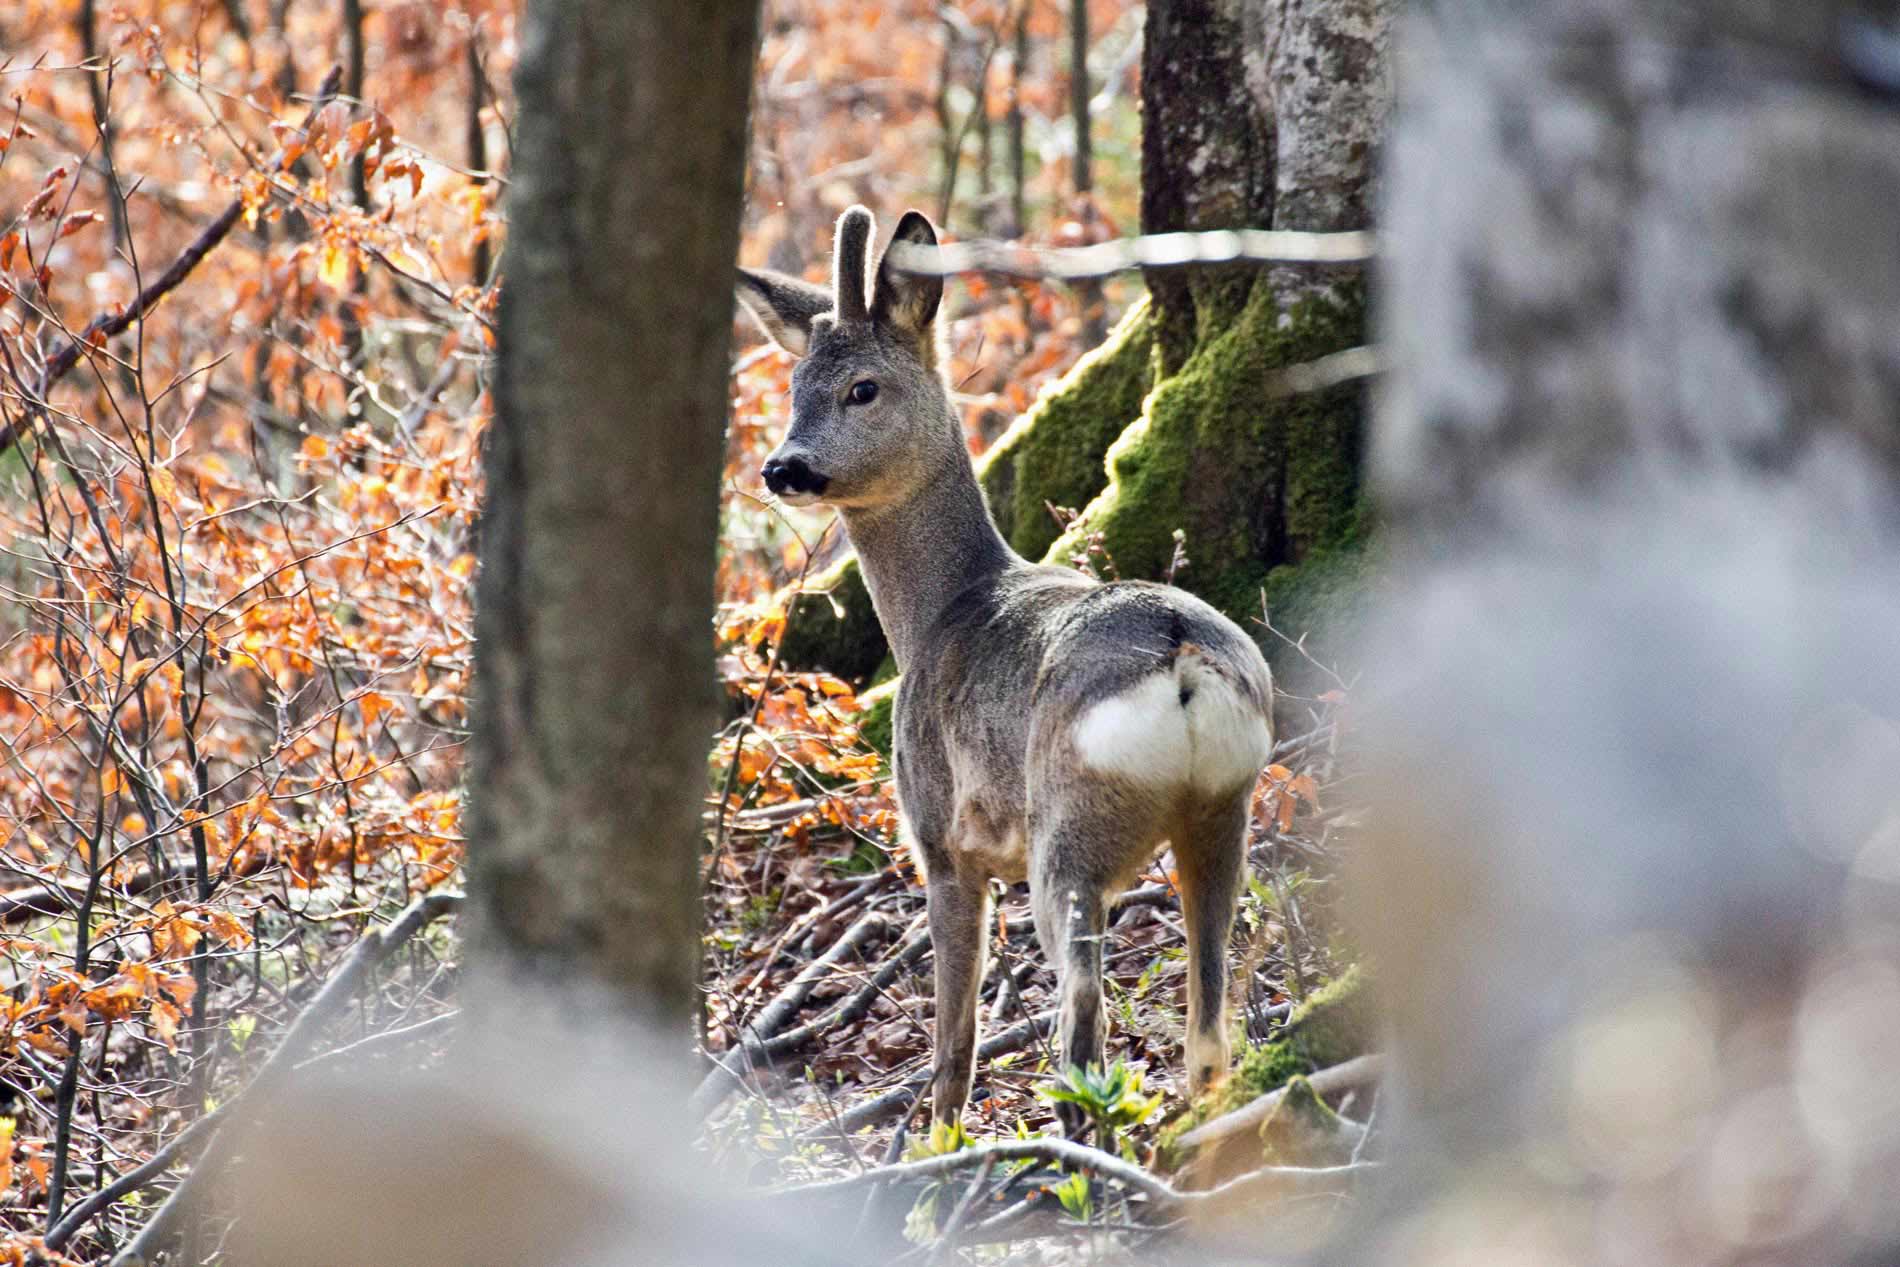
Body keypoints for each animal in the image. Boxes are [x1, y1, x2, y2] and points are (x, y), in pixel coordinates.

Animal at [733, 208, 1269, 1132]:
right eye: (795, 380)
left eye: (862, 387)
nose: (783, 467)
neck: (941, 607)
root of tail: (1179, 658)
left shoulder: (942, 836)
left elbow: (955, 1038)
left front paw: (937, 1140)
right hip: (1222, 809)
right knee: (1210, 1016)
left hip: (1069, 824)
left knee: (1084, 1005)